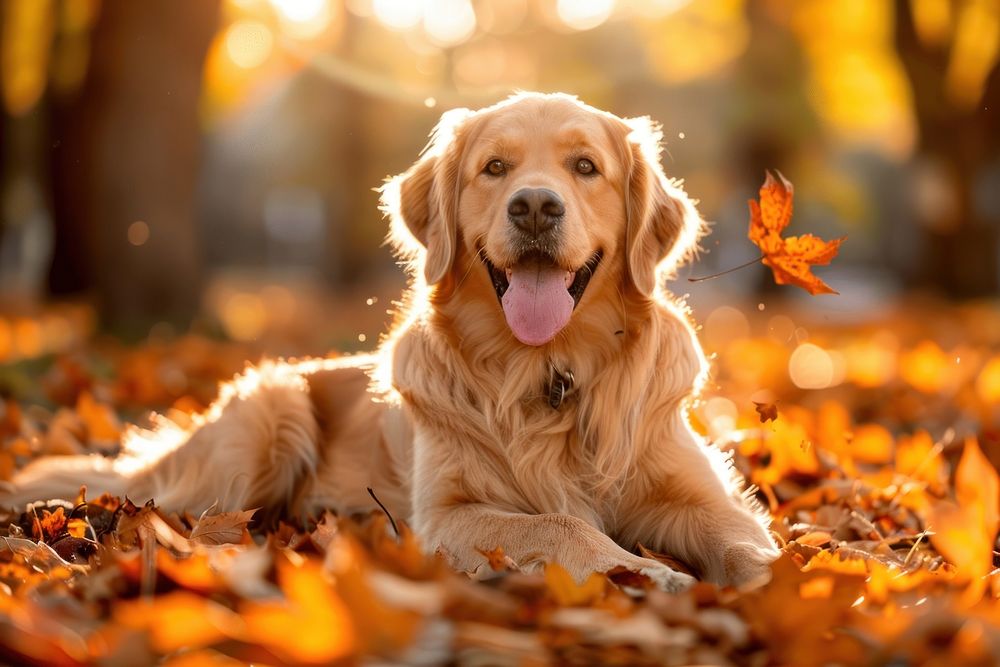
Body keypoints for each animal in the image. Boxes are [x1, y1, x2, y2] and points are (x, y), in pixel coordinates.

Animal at [1, 92, 780, 588]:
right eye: (495, 168)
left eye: (586, 167)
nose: (534, 206)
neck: (546, 370)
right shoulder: (448, 515)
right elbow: (562, 525)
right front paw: (644, 570)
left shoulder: (695, 495)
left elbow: (747, 539)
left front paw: (781, 583)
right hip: (270, 412)